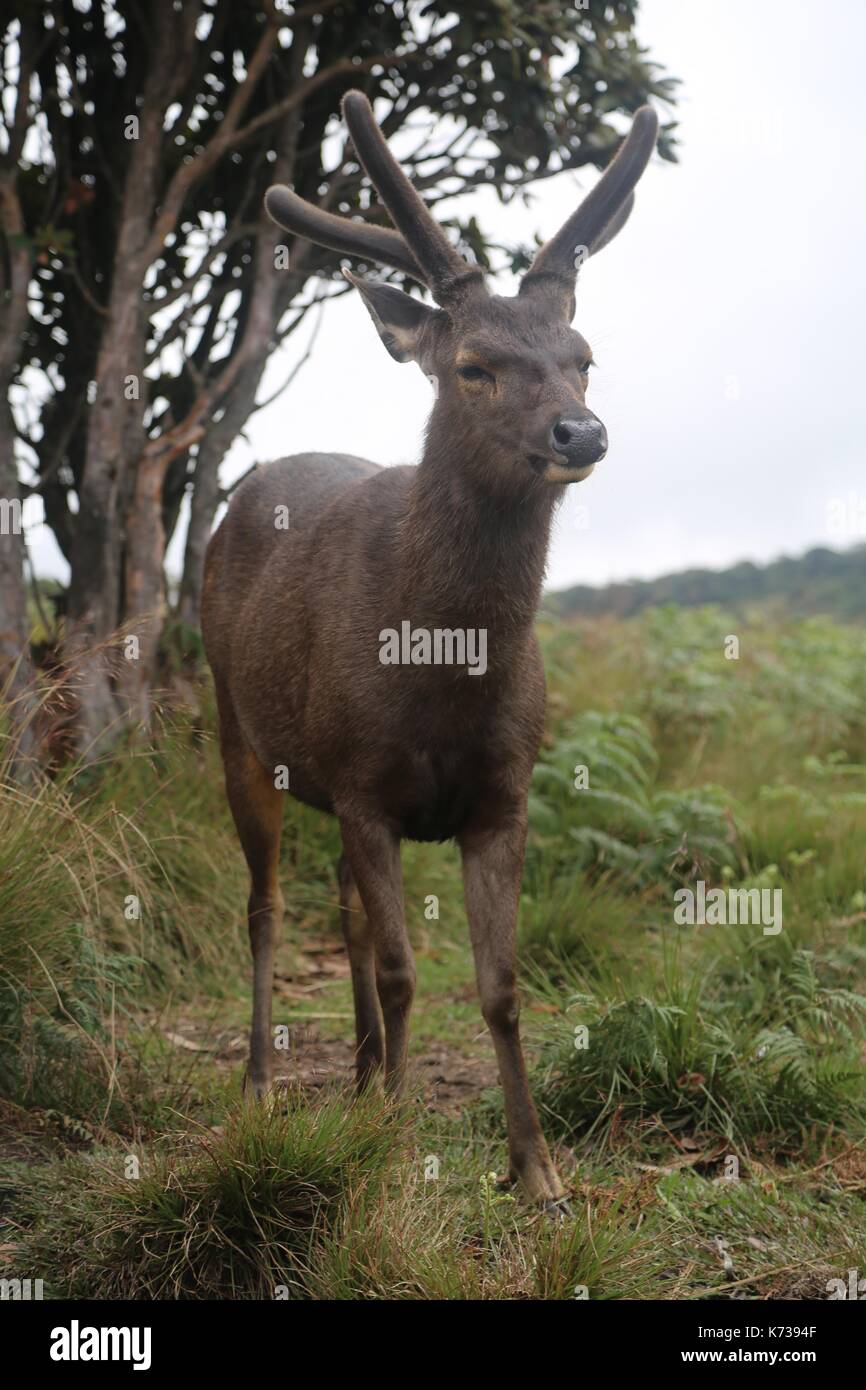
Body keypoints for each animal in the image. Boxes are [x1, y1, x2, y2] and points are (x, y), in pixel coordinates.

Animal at [202, 89, 661, 1206]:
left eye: (584, 355)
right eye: (473, 366)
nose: (580, 433)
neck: (443, 672)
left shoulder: (502, 791)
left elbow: (498, 984)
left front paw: (536, 1171)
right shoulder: (366, 782)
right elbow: (410, 970)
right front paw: (393, 1157)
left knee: (342, 909)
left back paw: (367, 1076)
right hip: (236, 726)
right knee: (266, 905)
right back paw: (264, 1086)